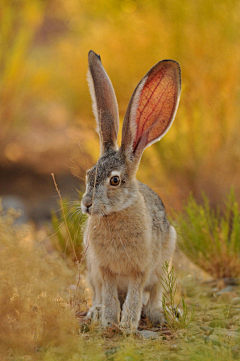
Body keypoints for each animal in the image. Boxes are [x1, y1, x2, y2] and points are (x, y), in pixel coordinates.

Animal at [81, 50, 181, 330]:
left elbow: (135, 297)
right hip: (91, 270)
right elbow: (109, 295)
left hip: (164, 261)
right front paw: (108, 323)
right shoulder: (104, 270)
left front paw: (126, 326)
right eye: (89, 175)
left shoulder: (141, 270)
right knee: (97, 293)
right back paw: (95, 313)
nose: (87, 204)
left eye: (115, 181)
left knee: (154, 295)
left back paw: (159, 315)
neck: (115, 215)